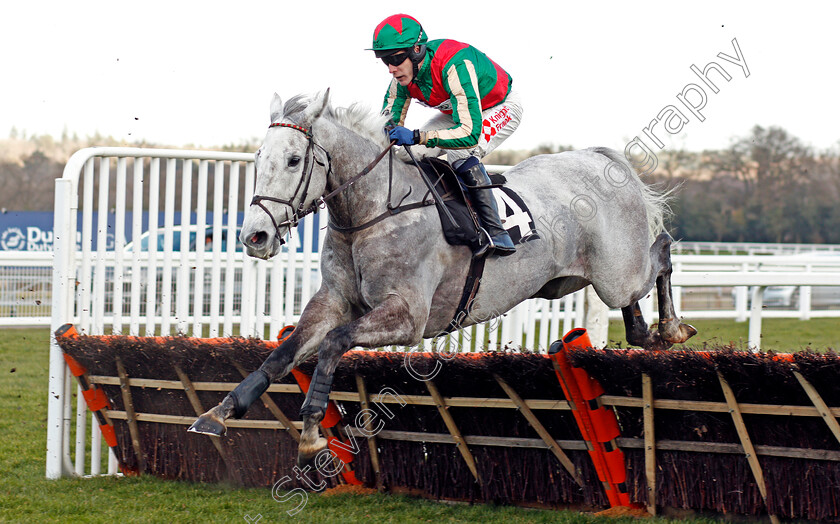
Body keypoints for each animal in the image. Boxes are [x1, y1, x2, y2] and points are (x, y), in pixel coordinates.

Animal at [189, 89, 696, 466]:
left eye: (294, 160)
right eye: (259, 158)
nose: (254, 236)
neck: (373, 210)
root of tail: (601, 157)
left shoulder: (407, 316)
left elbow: (334, 343)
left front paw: (312, 433)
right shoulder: (333, 300)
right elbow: (283, 353)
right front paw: (218, 413)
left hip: (617, 273)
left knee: (662, 250)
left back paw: (670, 327)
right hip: (582, 279)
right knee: (636, 296)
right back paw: (645, 332)